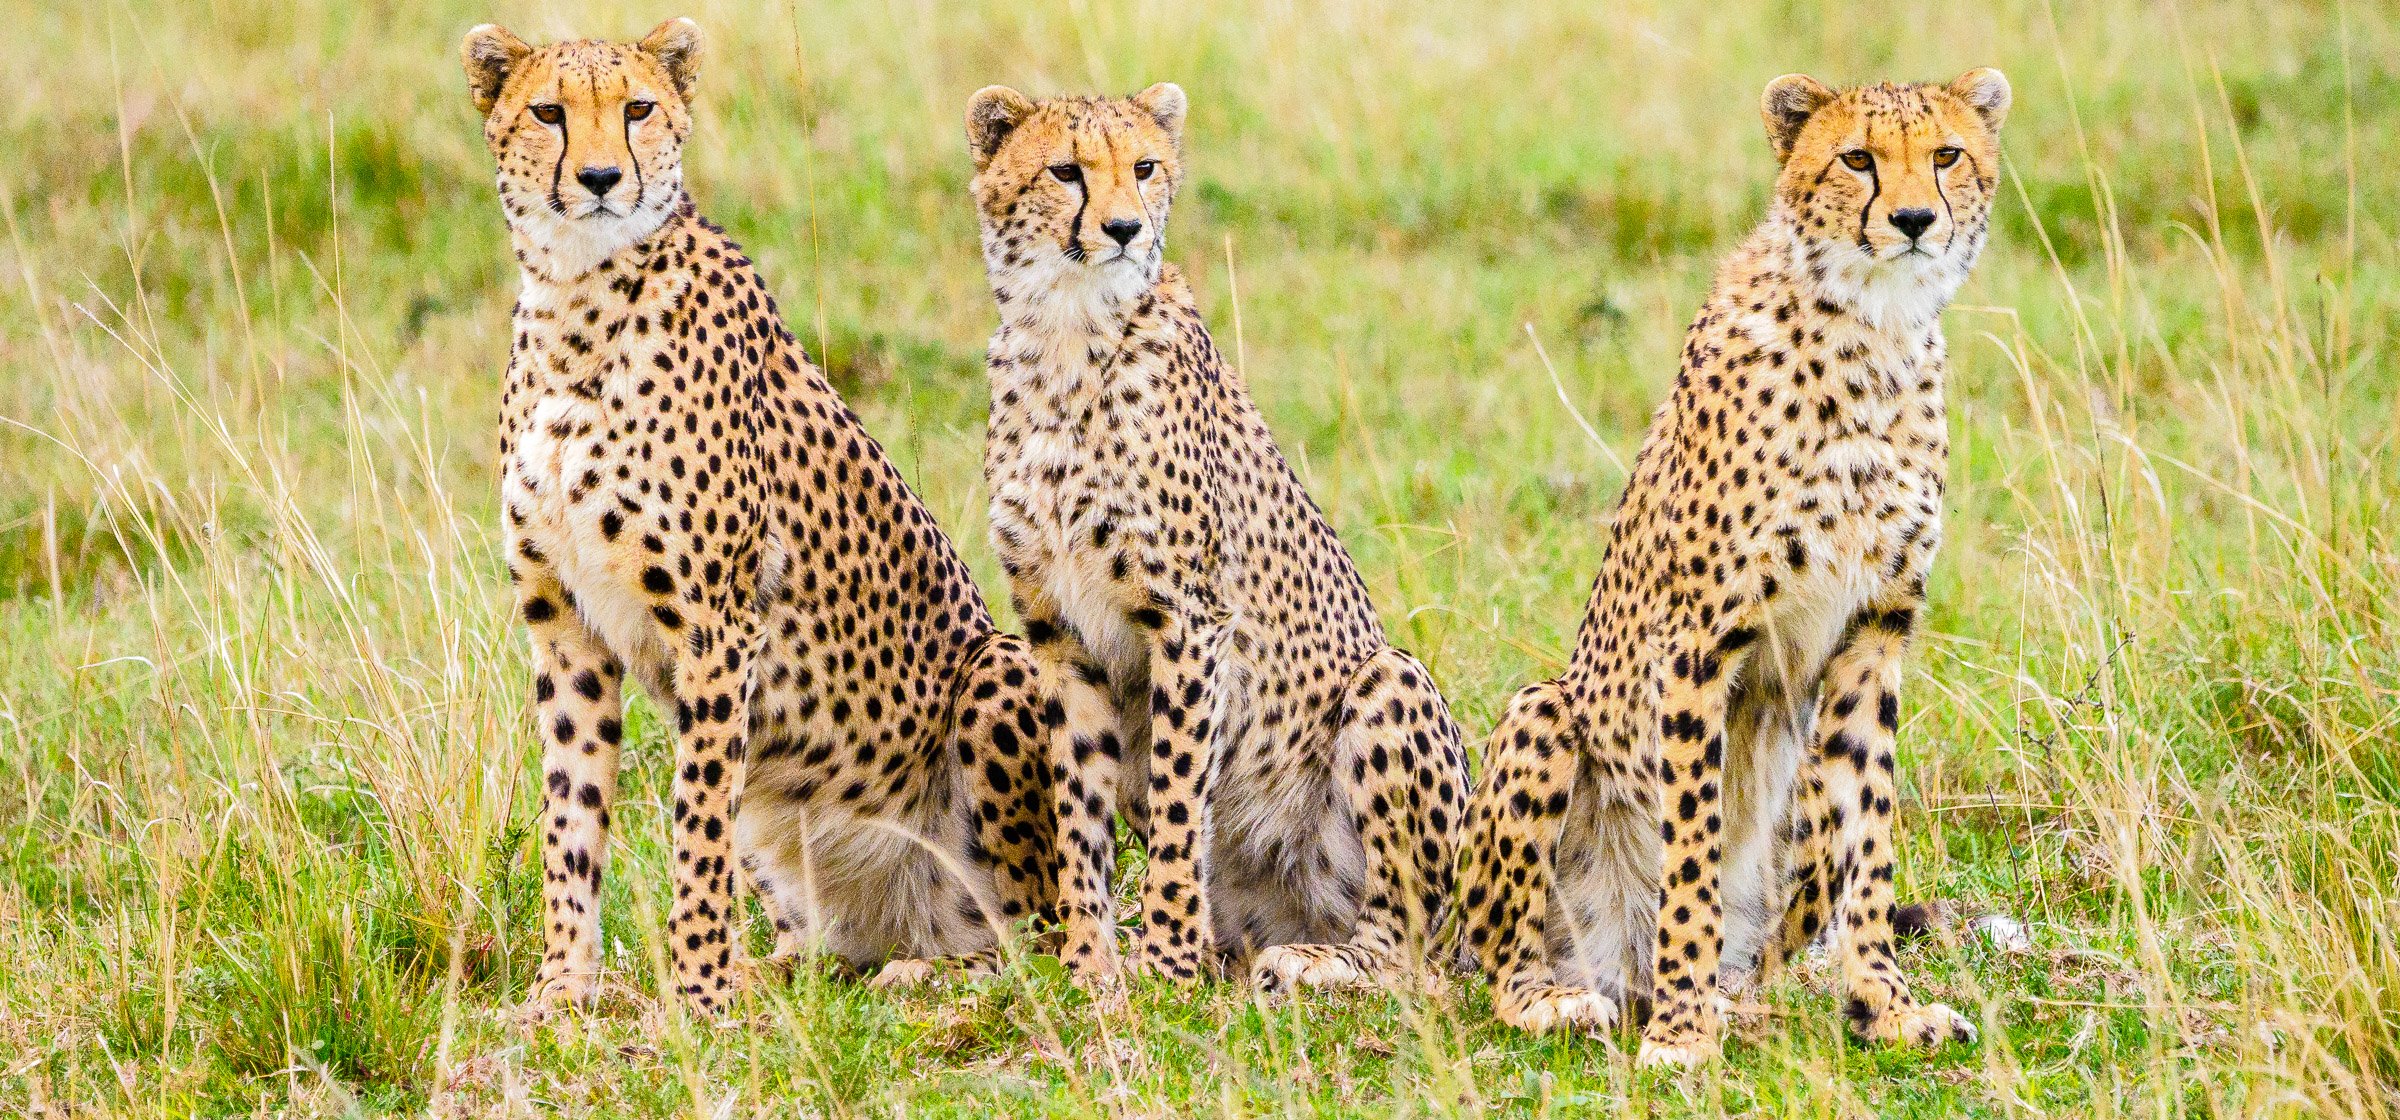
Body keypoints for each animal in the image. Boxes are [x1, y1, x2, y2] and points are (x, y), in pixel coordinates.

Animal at [462, 17, 1056, 1016]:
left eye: (638, 109)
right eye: (548, 113)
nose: (600, 178)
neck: (578, 299)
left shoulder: (717, 626)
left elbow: (696, 824)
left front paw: (699, 995)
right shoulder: (564, 627)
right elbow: (570, 821)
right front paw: (562, 991)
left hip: (1000, 671)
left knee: (1037, 937)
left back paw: (928, 977)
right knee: (835, 946)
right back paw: (783, 970)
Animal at [964, 83, 1471, 994]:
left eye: (1144, 166)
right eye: (1064, 171)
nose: (1124, 229)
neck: (1066, 329)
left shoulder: (1189, 620)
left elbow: (1176, 800)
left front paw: (1164, 963)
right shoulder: (1059, 636)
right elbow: (1080, 808)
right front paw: (1092, 967)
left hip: (1388, 682)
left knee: (1406, 952)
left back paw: (1313, 961)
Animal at [1454, 69, 2013, 1066]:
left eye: (1947, 154)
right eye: (1857, 158)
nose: (1914, 219)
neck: (1873, 328)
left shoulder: (1874, 636)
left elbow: (1870, 838)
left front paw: (1887, 1006)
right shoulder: (1699, 641)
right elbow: (1691, 853)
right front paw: (1681, 1035)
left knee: (1780, 930)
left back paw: (1744, 1001)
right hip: (1544, 718)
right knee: (1510, 956)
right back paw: (1580, 999)